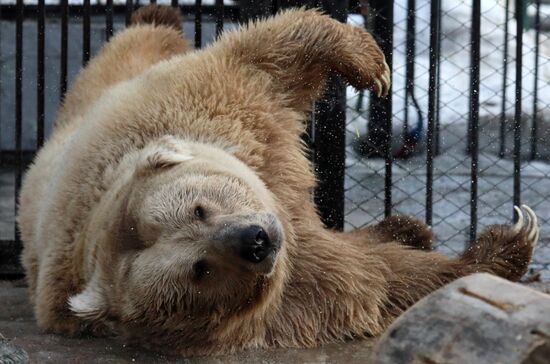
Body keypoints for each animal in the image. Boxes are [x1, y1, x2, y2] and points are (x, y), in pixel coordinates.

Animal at [18, 4, 544, 354]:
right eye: (199, 270)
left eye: (200, 208)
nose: (253, 240)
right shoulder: (293, 291)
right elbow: (381, 282)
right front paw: (506, 242)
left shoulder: (221, 112)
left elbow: (268, 56)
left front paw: (372, 66)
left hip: (100, 92)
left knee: (131, 49)